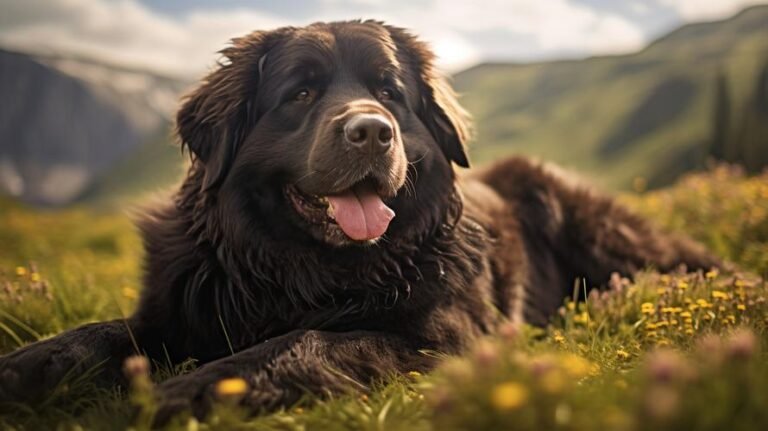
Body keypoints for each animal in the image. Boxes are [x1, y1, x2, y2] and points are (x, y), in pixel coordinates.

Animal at [0, 20, 720, 426]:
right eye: (301, 93)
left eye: (388, 92)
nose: (372, 130)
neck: (294, 269)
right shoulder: (182, 307)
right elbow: (90, 337)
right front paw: (21, 373)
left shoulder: (443, 338)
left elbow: (306, 341)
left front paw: (185, 391)